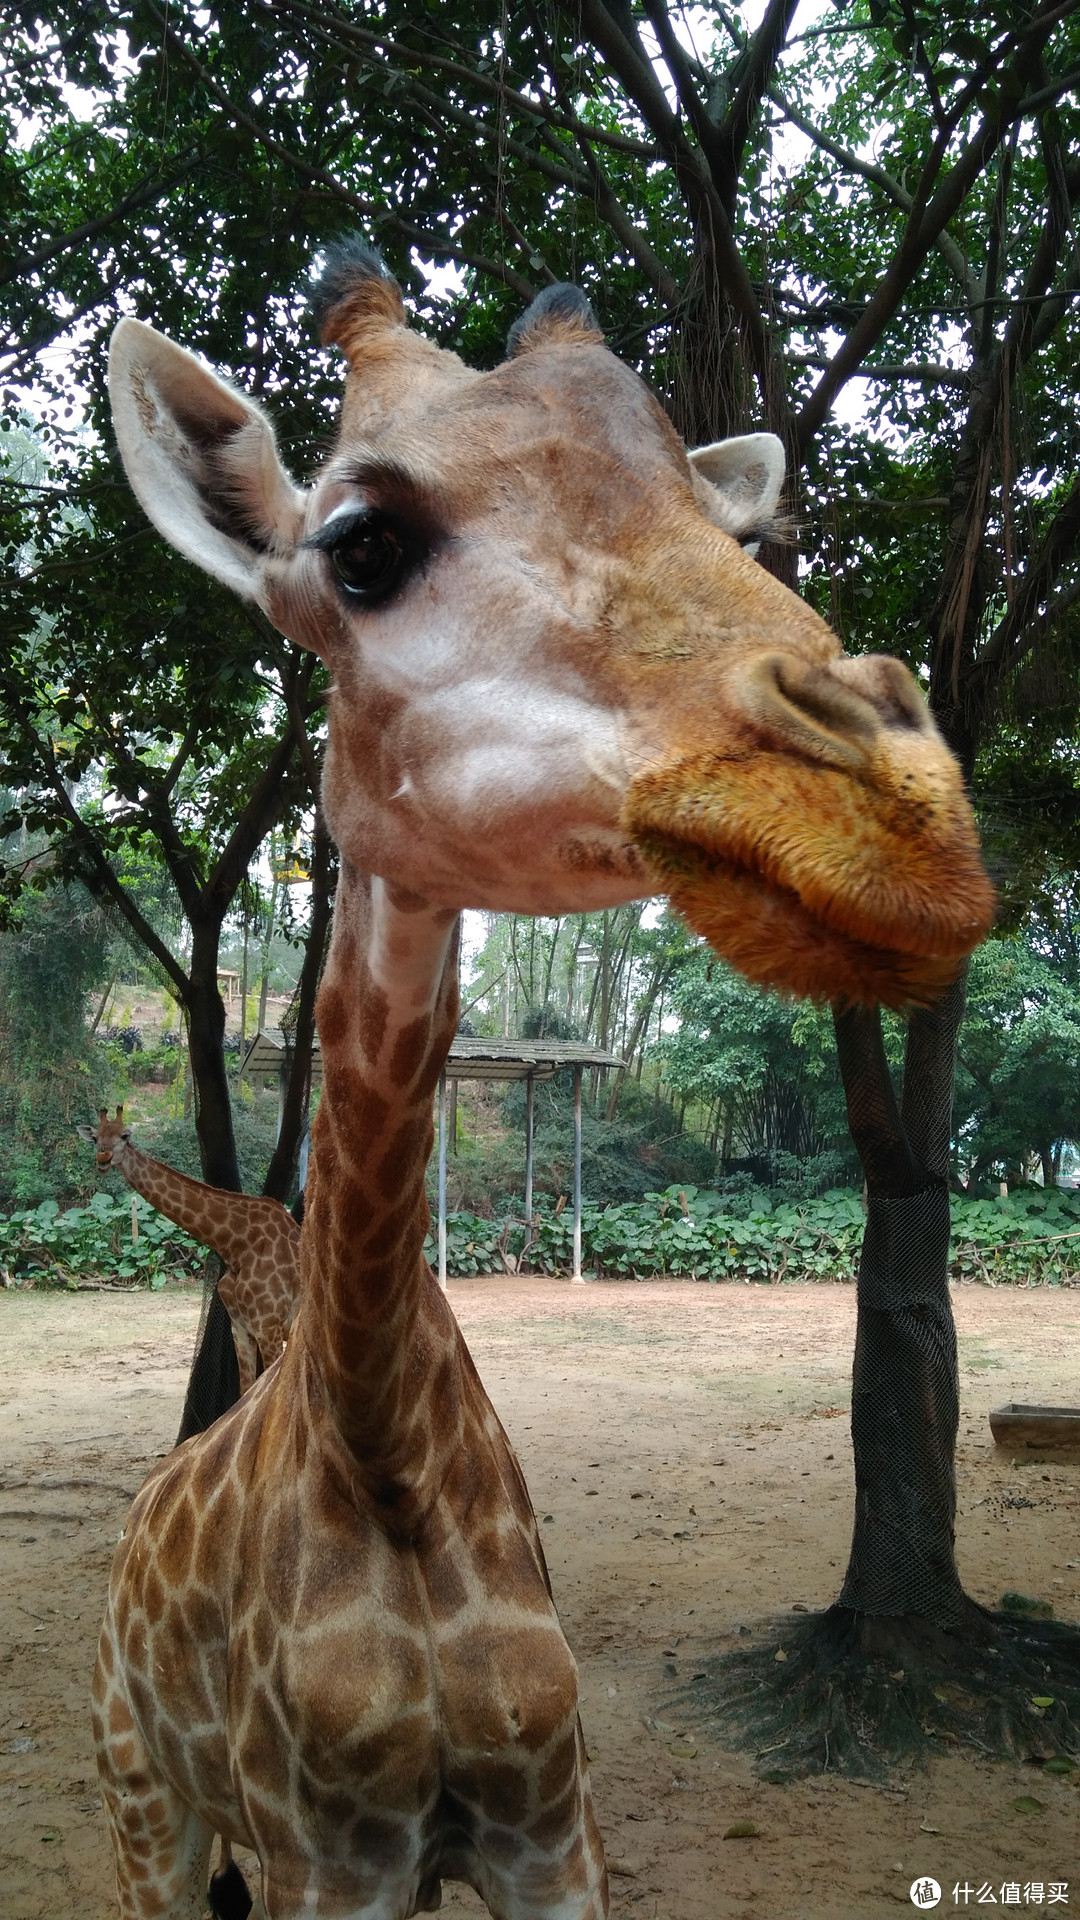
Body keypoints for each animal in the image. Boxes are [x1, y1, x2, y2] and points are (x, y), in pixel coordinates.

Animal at [78, 1113, 297, 1397]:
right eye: (95, 1138)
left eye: (124, 1136)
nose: (103, 1158)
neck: (237, 1244)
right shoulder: (241, 1328)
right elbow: (243, 1394)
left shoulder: (268, 1325)